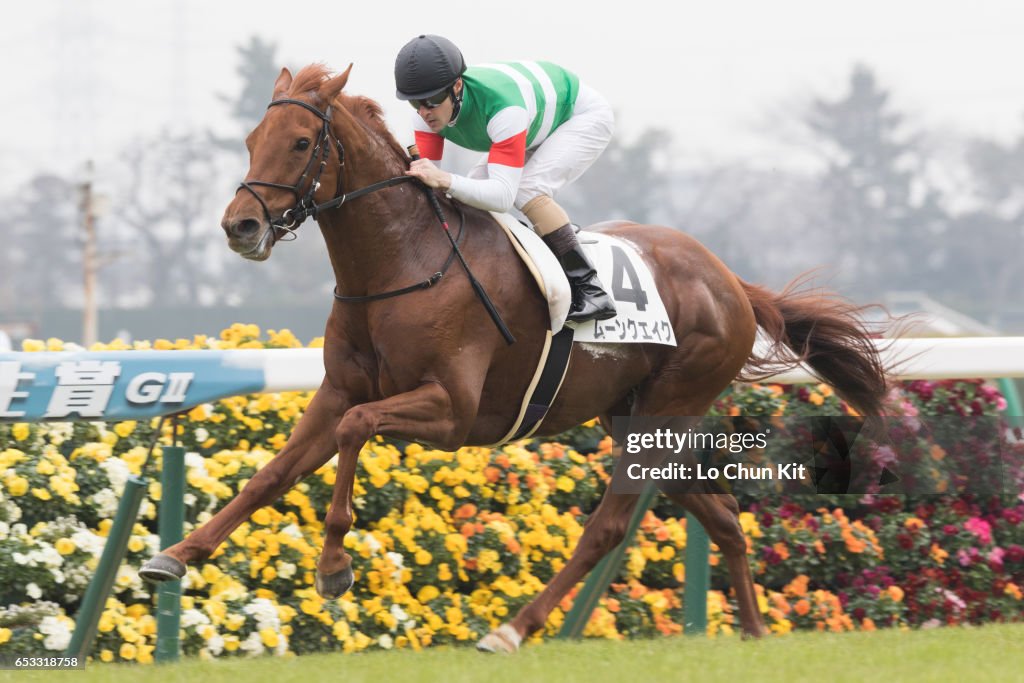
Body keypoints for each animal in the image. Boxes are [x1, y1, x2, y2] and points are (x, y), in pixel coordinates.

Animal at [138, 63, 888, 651]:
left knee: (606, 527)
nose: (240, 226)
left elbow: (354, 433)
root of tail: (733, 282)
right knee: (723, 514)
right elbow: (272, 474)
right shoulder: (337, 390)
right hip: (637, 419)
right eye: (251, 140)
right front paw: (173, 555)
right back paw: (756, 632)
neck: (401, 262)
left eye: (300, 142)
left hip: (661, 413)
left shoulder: (451, 411)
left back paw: (513, 628)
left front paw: (332, 567)